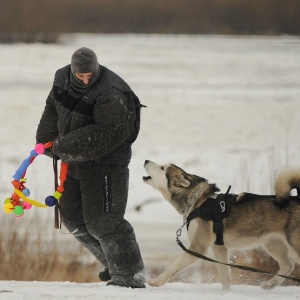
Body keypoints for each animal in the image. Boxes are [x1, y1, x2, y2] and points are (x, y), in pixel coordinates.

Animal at [142, 161, 300, 290]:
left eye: (162, 168)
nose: (146, 160)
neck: (197, 201)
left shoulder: (197, 248)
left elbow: (172, 266)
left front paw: (156, 281)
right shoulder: (219, 248)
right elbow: (225, 277)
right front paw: (227, 293)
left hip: (292, 246)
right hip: (273, 244)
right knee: (288, 266)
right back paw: (270, 284)